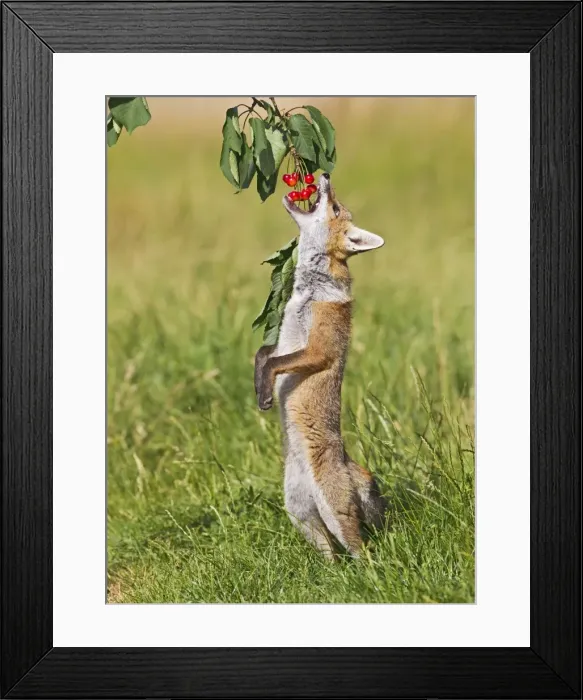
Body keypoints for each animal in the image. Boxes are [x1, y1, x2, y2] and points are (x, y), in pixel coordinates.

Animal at [254, 172, 387, 559]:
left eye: (336, 207)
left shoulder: (319, 350)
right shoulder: (282, 340)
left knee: (361, 552)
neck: (309, 292)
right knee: (332, 558)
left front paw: (265, 395)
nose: (324, 174)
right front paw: (258, 388)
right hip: (301, 515)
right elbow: (262, 356)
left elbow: (275, 364)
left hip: (334, 512)